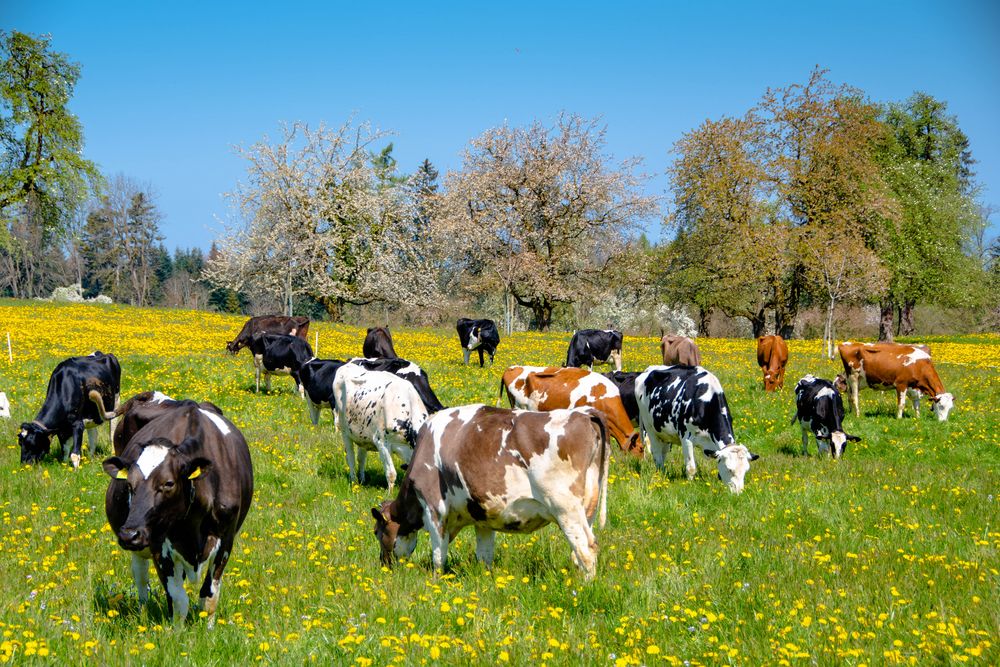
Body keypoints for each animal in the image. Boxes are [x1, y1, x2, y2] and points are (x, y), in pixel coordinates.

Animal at [101, 402, 254, 628]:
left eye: (168, 483)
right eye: (128, 484)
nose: (129, 535)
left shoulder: (226, 539)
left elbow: (209, 596)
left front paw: (208, 630)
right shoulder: (158, 544)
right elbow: (179, 599)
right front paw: (177, 633)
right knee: (141, 577)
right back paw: (143, 612)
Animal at [332, 362, 426, 494]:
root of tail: (347, 365)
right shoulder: (381, 442)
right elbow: (391, 473)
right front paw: (390, 494)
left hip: (362, 435)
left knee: (361, 458)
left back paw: (362, 480)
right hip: (345, 431)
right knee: (350, 457)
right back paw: (354, 481)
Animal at [372, 404, 608, 580]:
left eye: (377, 532)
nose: (383, 565)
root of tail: (584, 414)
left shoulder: (434, 508)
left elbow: (438, 554)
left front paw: (435, 581)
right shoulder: (482, 516)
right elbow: (484, 555)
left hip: (565, 507)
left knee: (586, 548)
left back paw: (583, 588)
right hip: (588, 508)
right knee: (580, 552)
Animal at [636, 362, 760, 494]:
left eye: (746, 470)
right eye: (729, 469)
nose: (738, 493)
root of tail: (649, 369)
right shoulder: (686, 437)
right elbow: (691, 467)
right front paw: (689, 485)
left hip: (663, 432)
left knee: (663, 452)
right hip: (649, 427)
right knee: (656, 453)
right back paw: (660, 474)